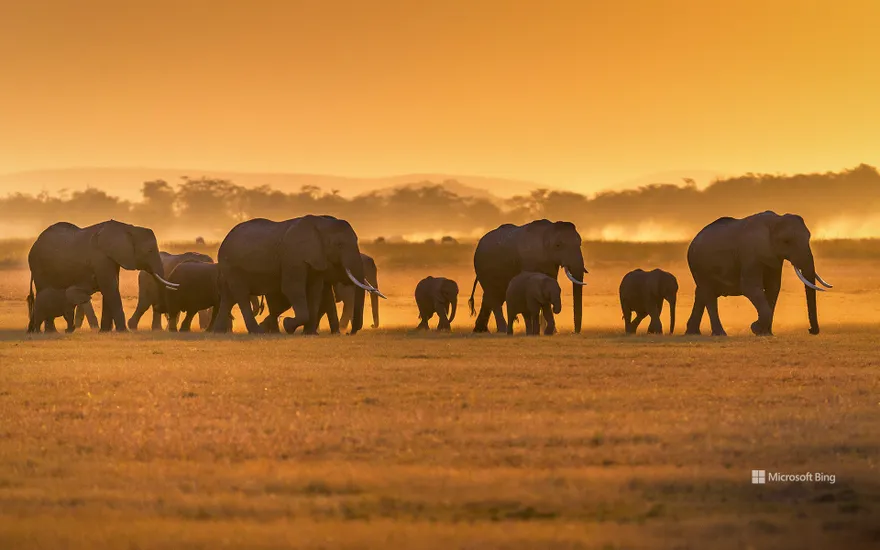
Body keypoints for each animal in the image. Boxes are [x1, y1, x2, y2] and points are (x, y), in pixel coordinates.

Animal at [27, 220, 177, 332]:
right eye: (149, 250)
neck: (127, 228)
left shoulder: (112, 258)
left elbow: (111, 286)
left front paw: (105, 331)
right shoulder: (100, 258)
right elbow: (110, 287)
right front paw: (123, 331)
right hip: (39, 267)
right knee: (44, 292)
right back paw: (50, 331)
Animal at [213, 217, 384, 336]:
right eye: (339, 245)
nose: (349, 333)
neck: (321, 224)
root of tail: (224, 240)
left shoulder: (317, 259)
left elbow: (315, 291)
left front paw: (309, 333)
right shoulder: (293, 257)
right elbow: (292, 289)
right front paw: (288, 325)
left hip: (228, 267)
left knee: (228, 297)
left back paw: (219, 331)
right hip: (232, 266)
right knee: (241, 295)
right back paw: (257, 331)